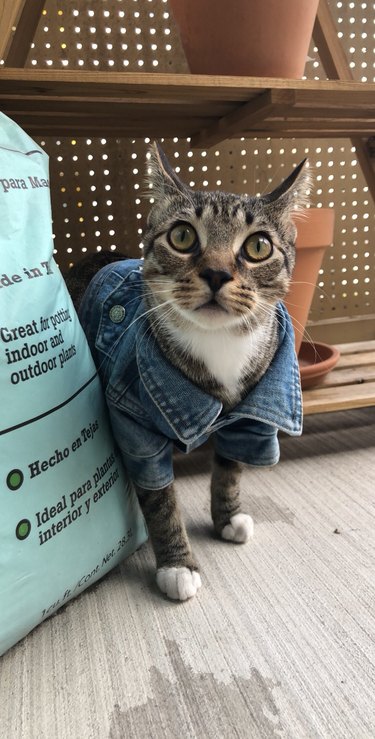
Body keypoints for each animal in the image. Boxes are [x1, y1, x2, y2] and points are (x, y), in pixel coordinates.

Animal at [65, 143, 312, 600]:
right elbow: (160, 497)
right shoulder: (135, 426)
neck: (218, 348)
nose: (216, 272)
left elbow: (230, 469)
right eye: (182, 236)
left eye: (259, 246)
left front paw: (227, 518)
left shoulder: (249, 417)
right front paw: (177, 566)